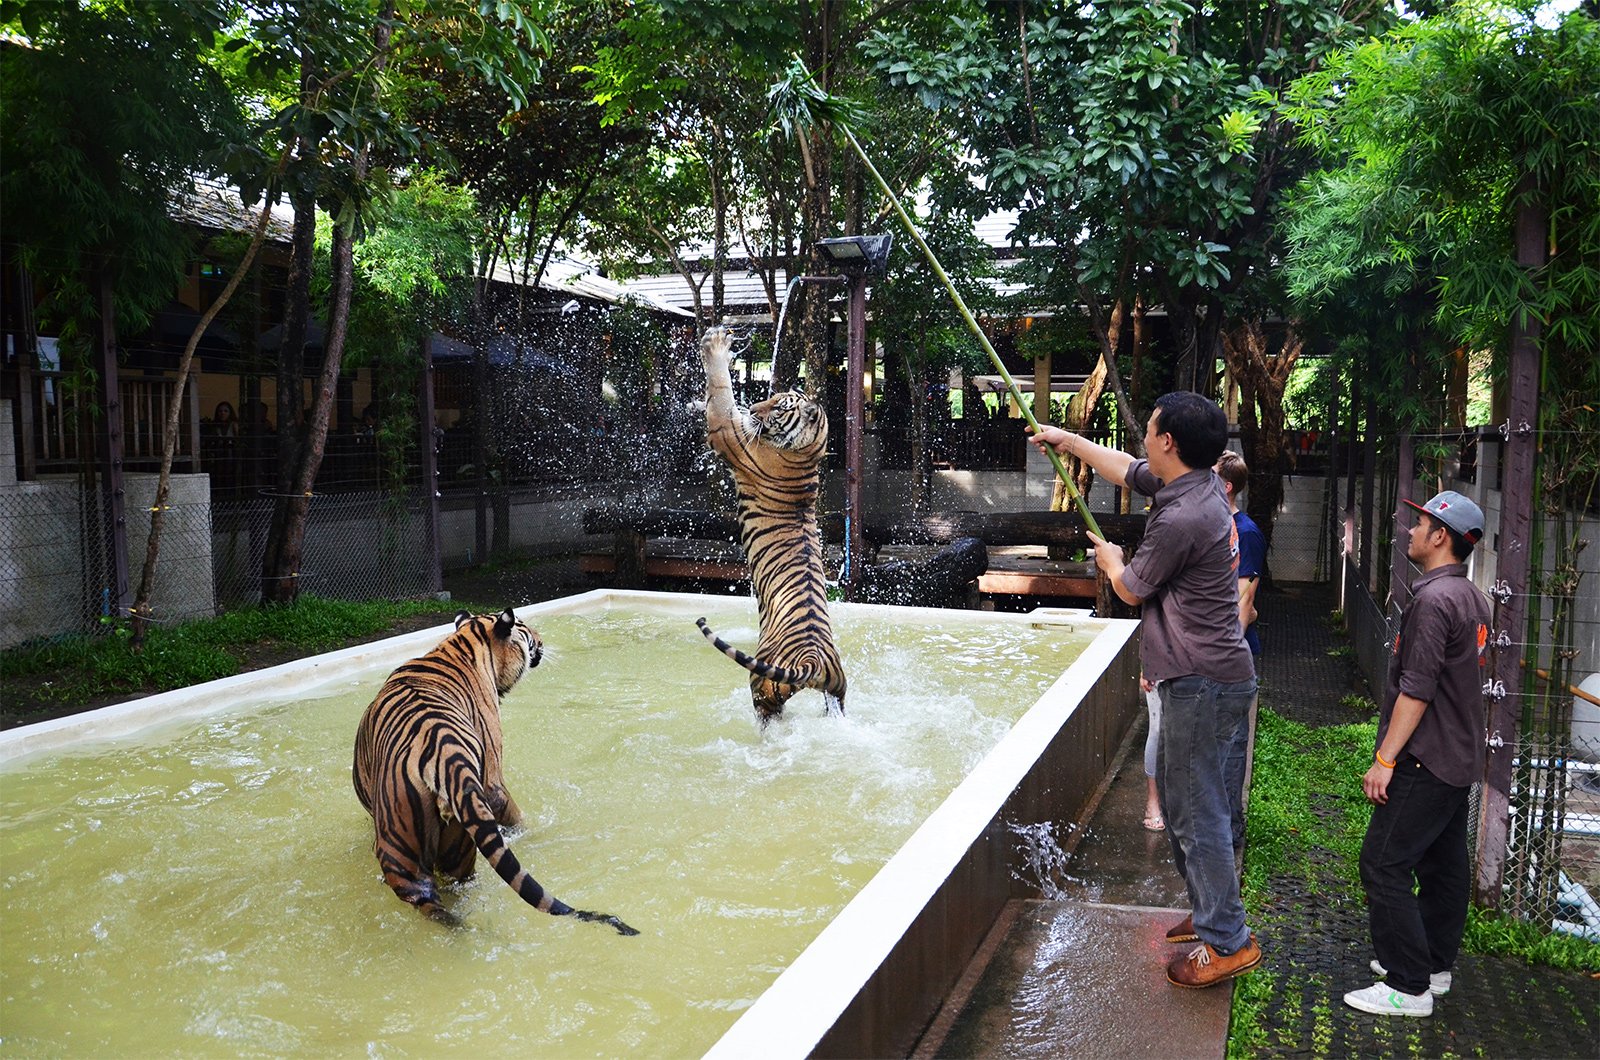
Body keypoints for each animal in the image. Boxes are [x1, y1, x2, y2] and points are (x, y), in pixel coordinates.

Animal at [355, 605, 636, 941]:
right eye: (525, 629)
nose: (542, 639)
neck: (462, 645)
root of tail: (446, 757)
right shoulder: (493, 776)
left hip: (412, 853)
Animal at [700, 323, 851, 726]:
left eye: (780, 407)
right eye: (774, 398)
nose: (754, 409)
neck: (810, 450)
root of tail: (814, 662)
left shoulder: (727, 429)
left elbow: (720, 389)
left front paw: (716, 344)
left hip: (762, 682)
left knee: (766, 713)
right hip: (838, 693)